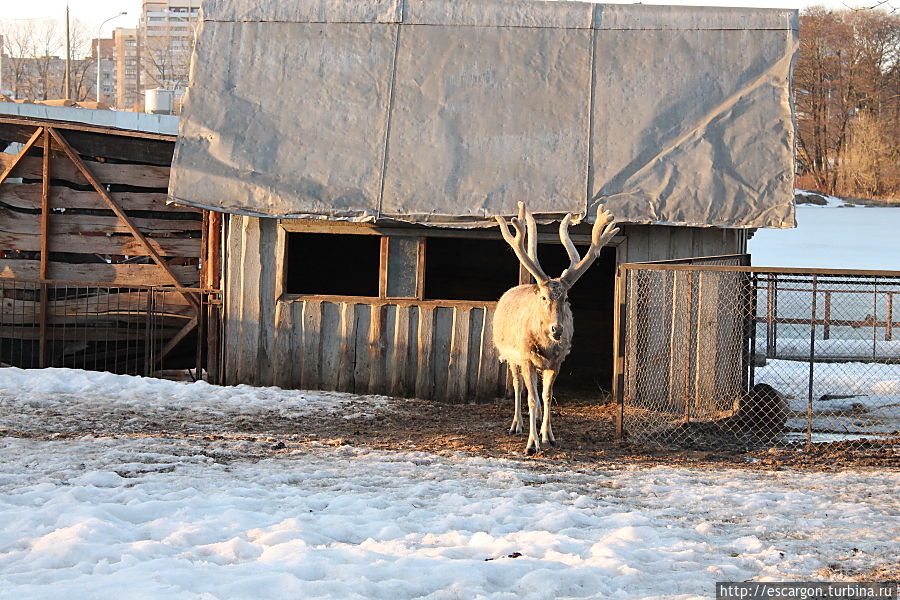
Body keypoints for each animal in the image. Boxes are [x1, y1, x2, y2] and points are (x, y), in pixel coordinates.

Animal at [492, 203, 620, 454]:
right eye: (543, 297)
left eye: (566, 298)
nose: (556, 329)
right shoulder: (526, 357)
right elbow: (531, 397)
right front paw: (532, 444)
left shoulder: (557, 361)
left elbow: (547, 396)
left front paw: (549, 436)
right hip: (510, 356)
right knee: (518, 386)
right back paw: (516, 425)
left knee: (537, 391)